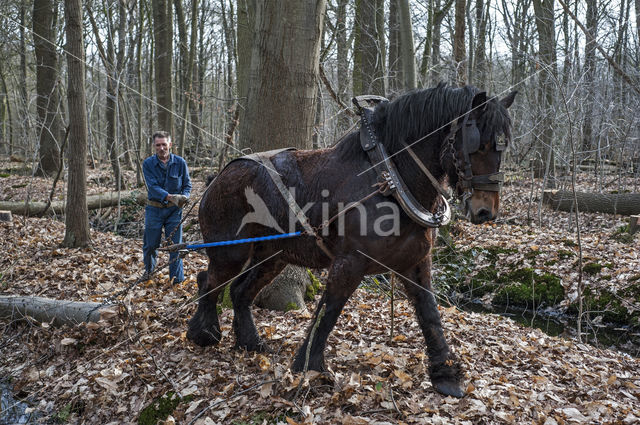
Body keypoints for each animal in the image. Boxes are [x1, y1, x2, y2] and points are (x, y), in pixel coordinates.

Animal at [186, 83, 516, 398]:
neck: (390, 178)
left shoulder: (416, 261)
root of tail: (219, 176)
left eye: (503, 147)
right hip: (231, 252)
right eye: (478, 145)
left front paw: (445, 376)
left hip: (272, 256)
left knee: (239, 291)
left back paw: (249, 342)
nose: (486, 211)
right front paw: (308, 367)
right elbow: (328, 311)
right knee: (209, 281)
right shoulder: (350, 262)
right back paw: (204, 333)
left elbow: (430, 314)